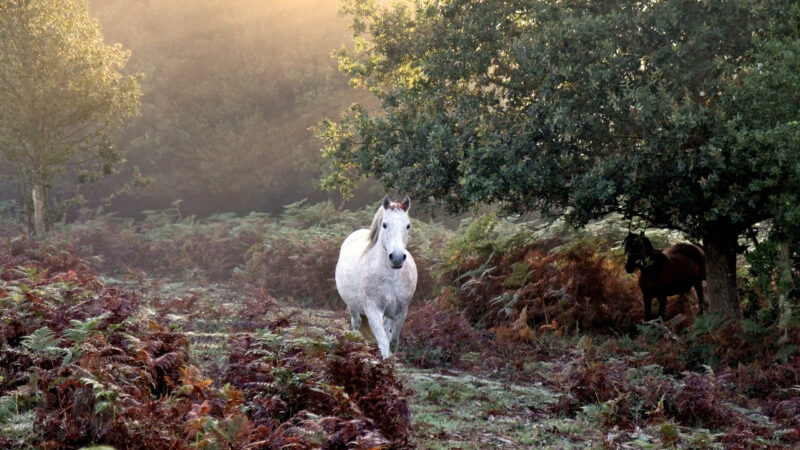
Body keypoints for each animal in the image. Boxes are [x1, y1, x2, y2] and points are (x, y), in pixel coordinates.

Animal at [335, 195, 418, 358]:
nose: (397, 258)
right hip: (352, 307)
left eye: (408, 226)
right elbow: (384, 343)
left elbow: (393, 342)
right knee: (356, 324)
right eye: (384, 225)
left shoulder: (401, 312)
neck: (391, 278)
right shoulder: (373, 310)